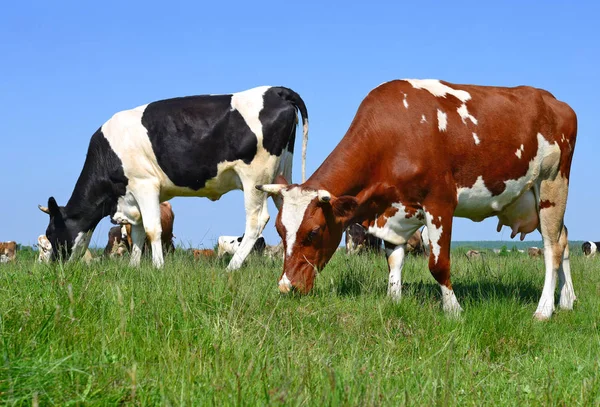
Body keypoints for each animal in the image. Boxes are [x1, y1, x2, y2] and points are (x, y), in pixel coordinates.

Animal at [37, 86, 308, 270]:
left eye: (50, 233)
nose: (53, 267)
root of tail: (274, 90)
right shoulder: (132, 196)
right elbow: (137, 232)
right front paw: (134, 267)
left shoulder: (145, 184)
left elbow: (152, 229)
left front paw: (158, 267)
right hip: (280, 173)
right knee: (288, 211)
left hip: (255, 178)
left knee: (256, 220)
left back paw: (232, 268)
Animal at [258, 79, 576, 322]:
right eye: (279, 231)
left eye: (314, 232)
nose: (286, 287)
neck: (393, 135)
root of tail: (553, 101)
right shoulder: (392, 211)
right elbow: (393, 260)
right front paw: (393, 300)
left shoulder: (440, 203)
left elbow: (438, 264)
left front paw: (454, 310)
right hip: (532, 198)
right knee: (563, 238)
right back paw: (567, 300)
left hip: (553, 185)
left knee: (551, 249)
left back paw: (544, 310)